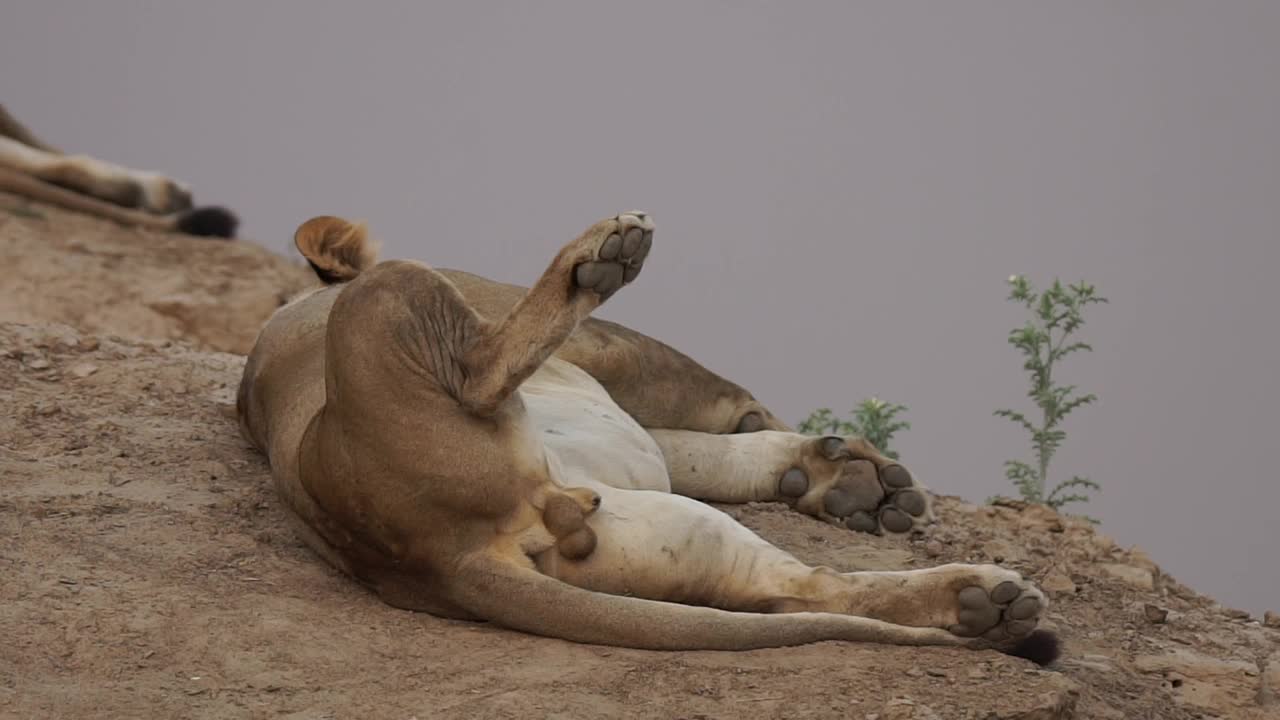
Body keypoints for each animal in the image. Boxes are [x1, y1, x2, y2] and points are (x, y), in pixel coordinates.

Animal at [238, 208, 1059, 661]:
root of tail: (442, 558)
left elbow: (711, 451)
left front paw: (841, 482)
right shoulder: (621, 353)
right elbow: (730, 409)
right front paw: (850, 477)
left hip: (668, 534)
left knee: (801, 591)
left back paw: (982, 603)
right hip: (398, 294)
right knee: (481, 366)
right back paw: (600, 255)